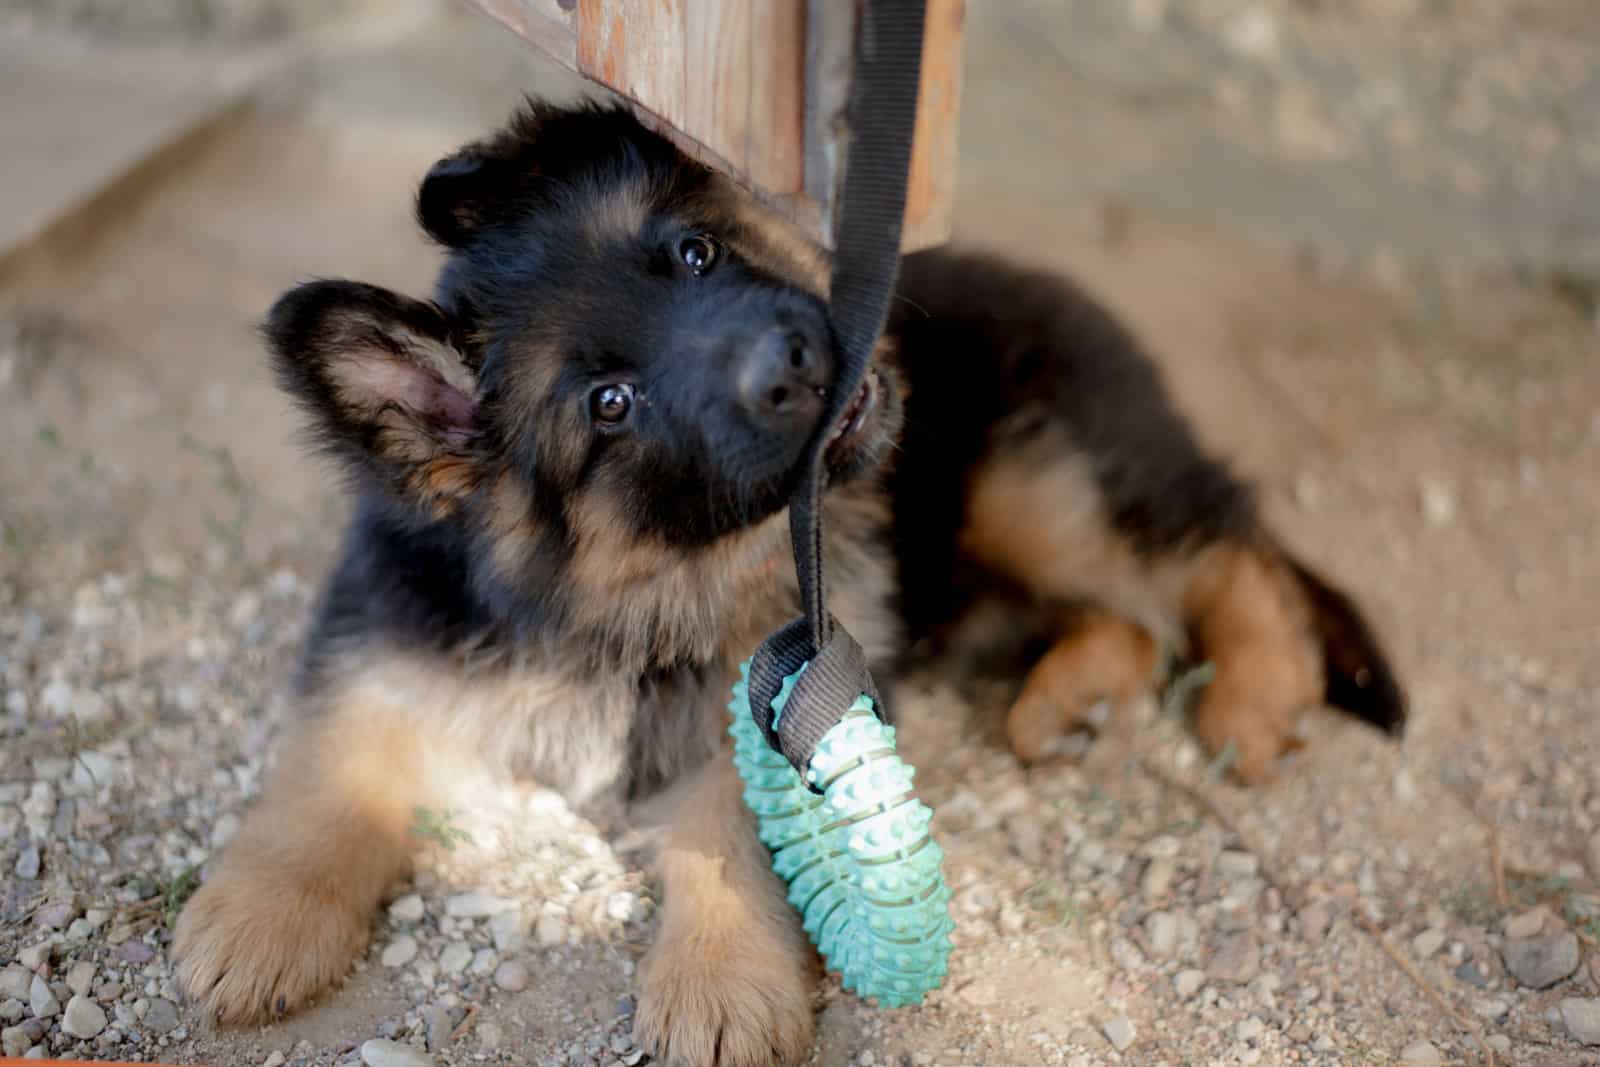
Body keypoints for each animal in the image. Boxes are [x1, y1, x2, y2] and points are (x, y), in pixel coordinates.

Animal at [172, 102, 1401, 1067]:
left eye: (693, 254)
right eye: (608, 404)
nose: (795, 364)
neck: (622, 603)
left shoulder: (780, 691)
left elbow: (725, 826)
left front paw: (717, 981)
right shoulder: (382, 630)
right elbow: (330, 762)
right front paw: (260, 912)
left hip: (1033, 481)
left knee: (1223, 549)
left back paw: (1255, 695)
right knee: (1140, 606)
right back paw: (1068, 701)